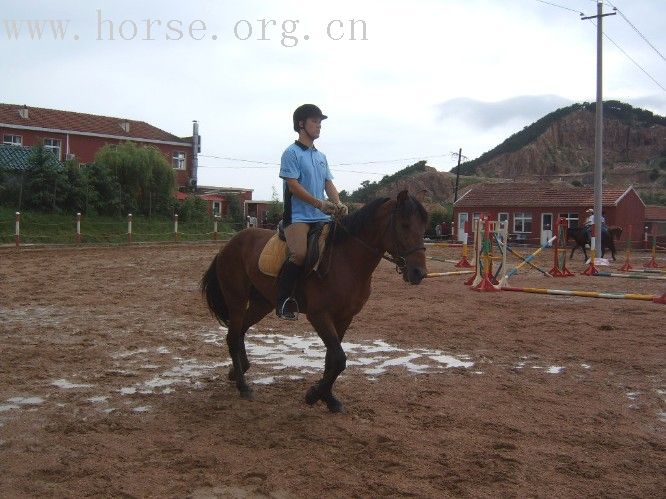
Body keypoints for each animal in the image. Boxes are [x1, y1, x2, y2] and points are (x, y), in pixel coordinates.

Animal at [200, 189, 426, 412]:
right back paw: (242, 385)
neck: (346, 261)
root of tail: (228, 245)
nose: (419, 273)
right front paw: (314, 394)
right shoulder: (319, 316)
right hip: (236, 300)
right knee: (232, 336)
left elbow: (331, 359)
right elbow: (339, 359)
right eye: (404, 225)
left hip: (261, 303)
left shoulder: (344, 317)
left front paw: (328, 398)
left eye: (423, 228)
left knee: (241, 332)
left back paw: (238, 371)